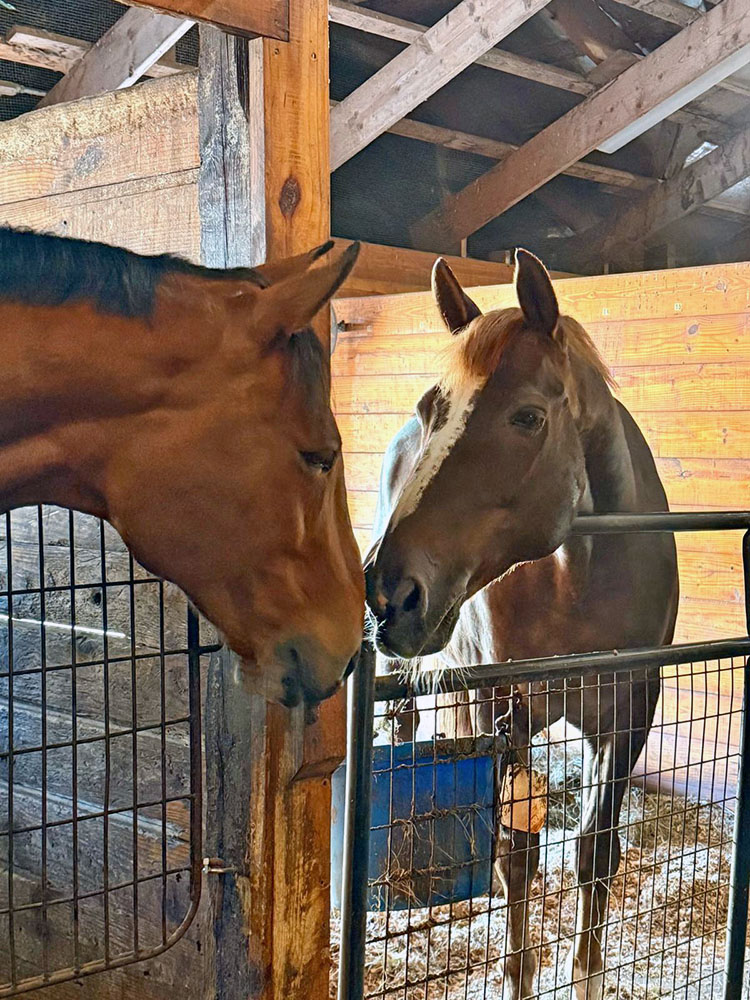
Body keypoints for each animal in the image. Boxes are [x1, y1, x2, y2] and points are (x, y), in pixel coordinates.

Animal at [365, 250, 679, 1000]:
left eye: (529, 416)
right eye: (432, 408)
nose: (391, 592)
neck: (578, 577)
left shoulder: (629, 711)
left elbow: (596, 849)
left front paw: (587, 974)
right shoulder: (504, 706)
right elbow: (516, 853)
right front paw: (518, 976)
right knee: (404, 726)